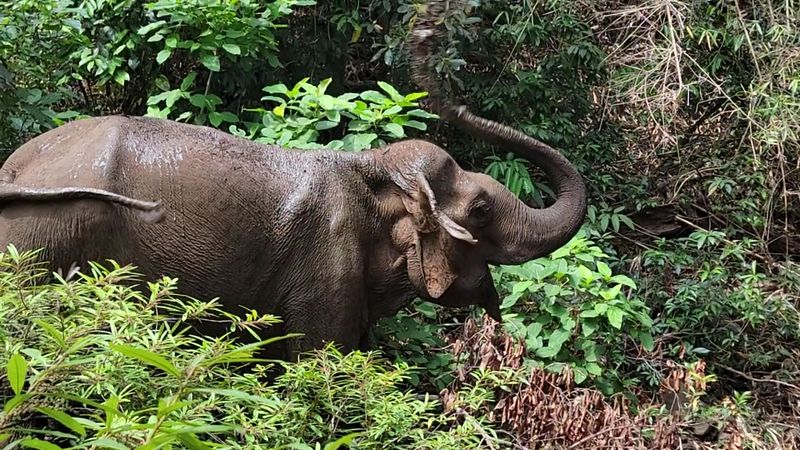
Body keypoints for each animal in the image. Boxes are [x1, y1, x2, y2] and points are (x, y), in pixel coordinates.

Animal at [0, 1, 587, 359]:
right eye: (482, 210)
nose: (427, 28)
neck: (371, 169)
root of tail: (11, 170)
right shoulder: (326, 261)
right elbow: (322, 360)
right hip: (45, 240)